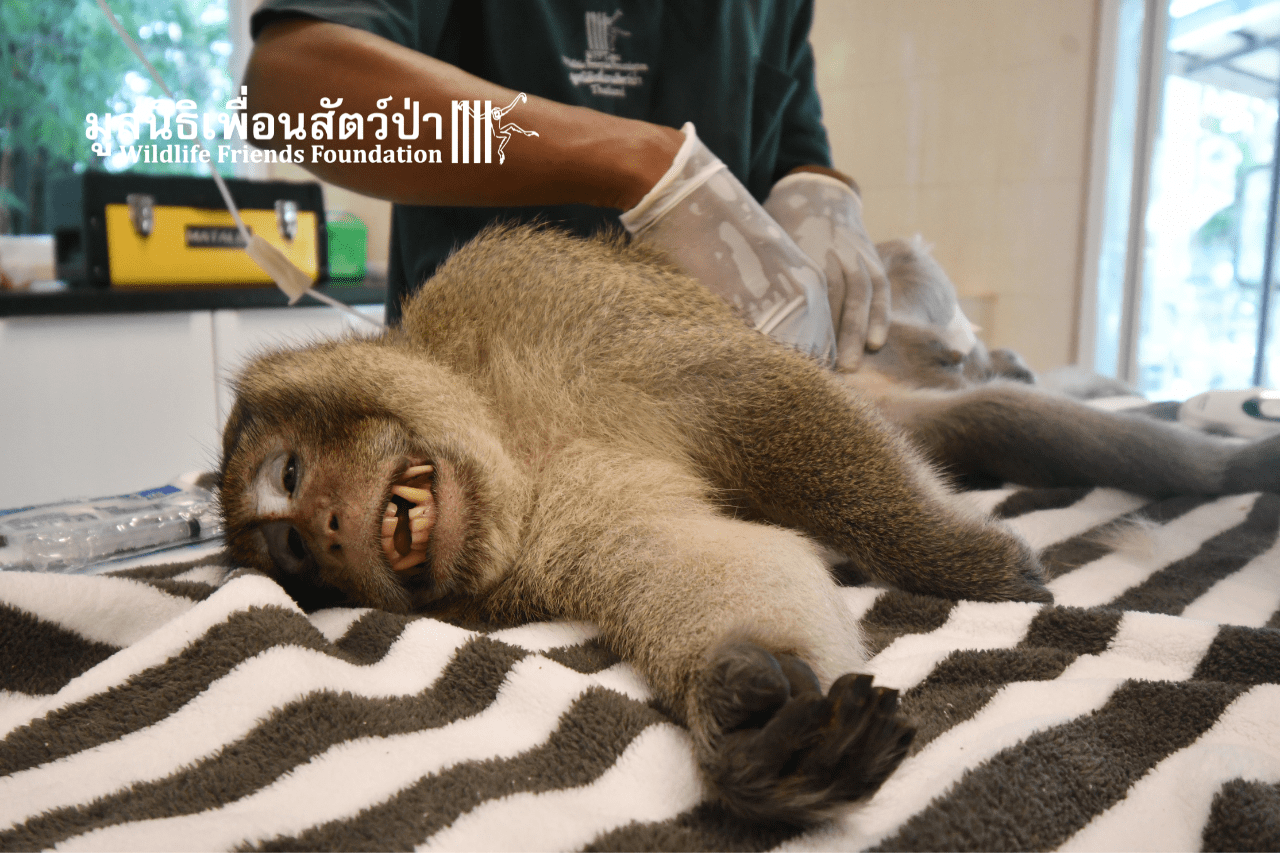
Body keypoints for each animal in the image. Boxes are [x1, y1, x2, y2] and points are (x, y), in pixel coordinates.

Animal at [219, 225, 1052, 827]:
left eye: (289, 476)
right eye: (299, 555)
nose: (329, 531)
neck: (512, 437)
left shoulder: (527, 298)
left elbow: (754, 394)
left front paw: (957, 556)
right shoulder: (562, 517)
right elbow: (690, 554)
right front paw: (747, 718)